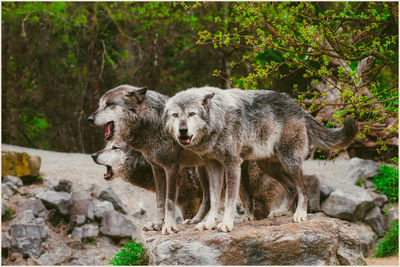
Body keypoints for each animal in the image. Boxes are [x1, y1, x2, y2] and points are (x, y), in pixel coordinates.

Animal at [164, 86, 358, 232]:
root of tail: (298, 106)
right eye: (175, 115)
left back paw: (300, 215)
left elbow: (229, 200)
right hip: (269, 167)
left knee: (303, 190)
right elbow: (213, 200)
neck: (218, 118)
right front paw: (208, 223)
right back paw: (280, 212)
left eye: (192, 114)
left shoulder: (232, 164)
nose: (182, 131)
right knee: (291, 188)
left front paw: (226, 224)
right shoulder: (213, 166)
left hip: (290, 162)